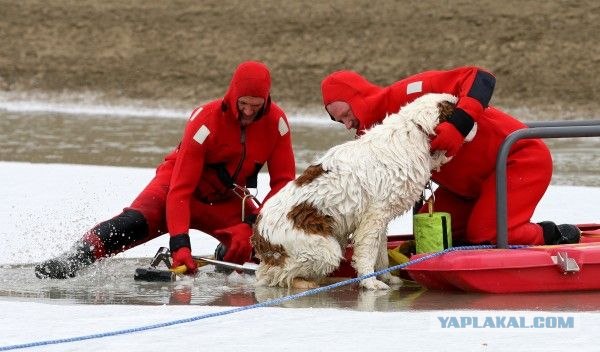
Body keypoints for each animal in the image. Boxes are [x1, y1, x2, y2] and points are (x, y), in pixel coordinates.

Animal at [251, 93, 458, 288]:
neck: (415, 129)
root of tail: (259, 232)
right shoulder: (374, 217)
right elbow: (368, 253)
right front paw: (370, 282)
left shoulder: (381, 220)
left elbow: (381, 254)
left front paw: (387, 277)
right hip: (325, 251)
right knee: (272, 275)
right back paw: (304, 283)